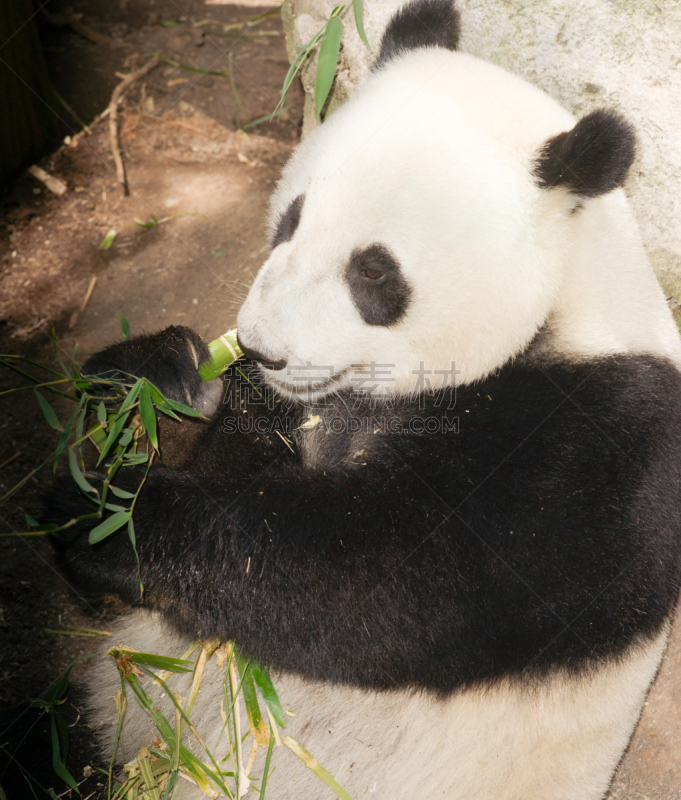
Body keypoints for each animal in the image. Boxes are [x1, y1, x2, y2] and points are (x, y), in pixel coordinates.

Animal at [45, 1, 680, 800]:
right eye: (290, 219)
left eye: (374, 272)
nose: (259, 347)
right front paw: (156, 392)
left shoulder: (590, 445)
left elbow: (373, 584)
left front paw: (113, 519)